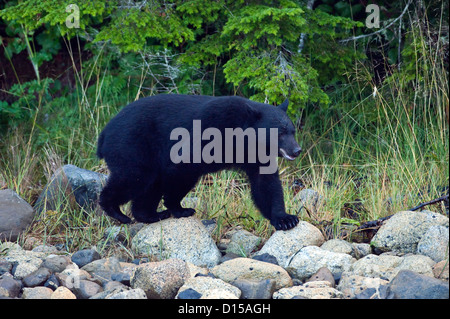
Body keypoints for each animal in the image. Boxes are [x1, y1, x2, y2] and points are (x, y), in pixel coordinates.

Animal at [98, 94, 302, 231]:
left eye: (292, 131)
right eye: (280, 133)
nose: (297, 150)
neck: (242, 138)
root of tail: (105, 131)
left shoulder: (256, 154)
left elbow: (266, 183)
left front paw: (285, 219)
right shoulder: (211, 128)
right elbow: (182, 167)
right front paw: (180, 209)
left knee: (149, 184)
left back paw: (150, 214)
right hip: (132, 144)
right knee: (135, 177)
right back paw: (115, 210)